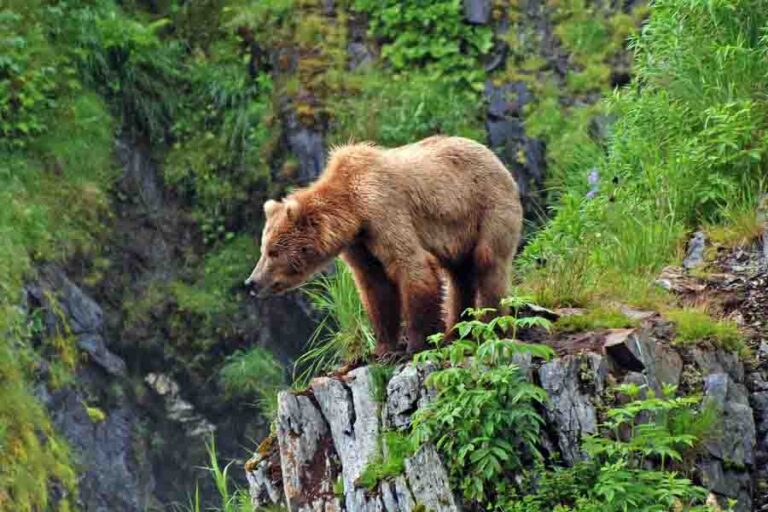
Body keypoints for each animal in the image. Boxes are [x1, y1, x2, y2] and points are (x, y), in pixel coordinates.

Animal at [245, 135, 523, 355]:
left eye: (272, 252)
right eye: (263, 250)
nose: (252, 282)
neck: (353, 212)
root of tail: (495, 157)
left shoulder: (384, 210)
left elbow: (411, 267)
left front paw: (414, 345)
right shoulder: (360, 244)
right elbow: (375, 287)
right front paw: (383, 349)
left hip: (487, 208)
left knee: (488, 263)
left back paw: (493, 325)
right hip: (459, 235)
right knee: (458, 275)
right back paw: (454, 332)